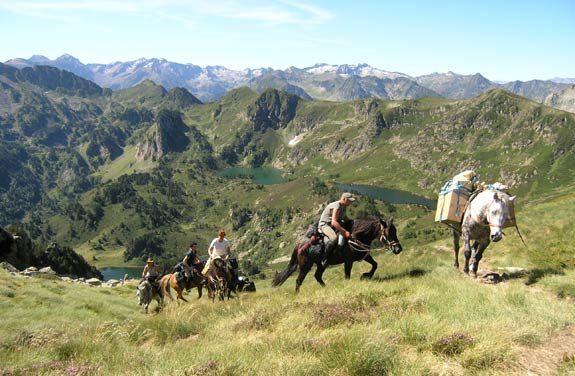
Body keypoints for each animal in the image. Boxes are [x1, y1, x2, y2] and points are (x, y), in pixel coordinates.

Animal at [272, 217, 402, 294]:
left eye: (395, 231)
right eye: (388, 233)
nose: (398, 249)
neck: (355, 237)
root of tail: (300, 244)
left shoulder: (364, 256)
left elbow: (375, 265)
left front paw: (365, 276)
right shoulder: (348, 261)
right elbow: (347, 275)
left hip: (321, 265)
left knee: (317, 276)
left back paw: (326, 288)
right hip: (305, 266)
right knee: (299, 280)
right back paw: (297, 294)